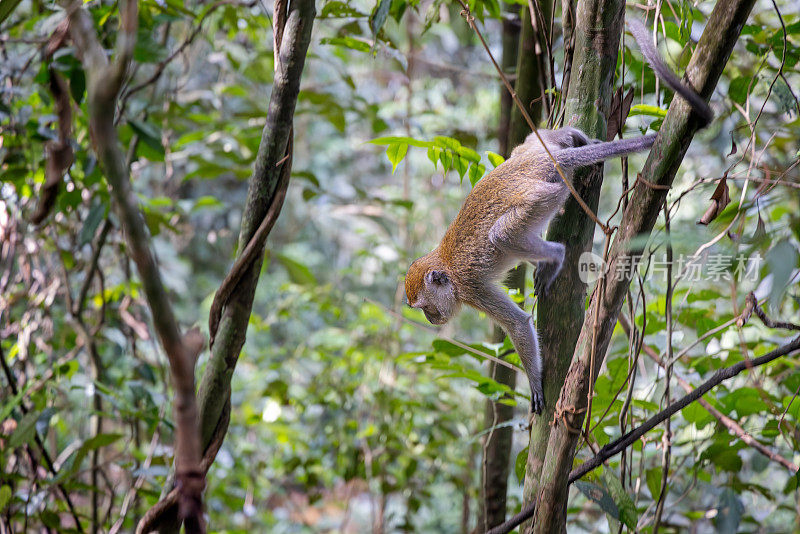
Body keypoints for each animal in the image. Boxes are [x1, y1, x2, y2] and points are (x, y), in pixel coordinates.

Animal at [406, 18, 712, 416]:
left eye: (427, 307)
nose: (432, 319)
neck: (446, 267)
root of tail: (547, 162)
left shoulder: (471, 287)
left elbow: (517, 324)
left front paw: (534, 384)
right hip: (534, 151)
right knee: (536, 144)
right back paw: (576, 137)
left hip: (545, 194)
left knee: (504, 234)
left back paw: (554, 255)